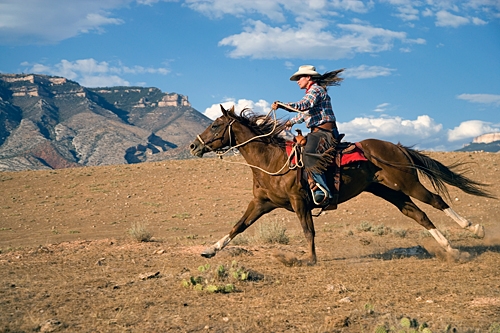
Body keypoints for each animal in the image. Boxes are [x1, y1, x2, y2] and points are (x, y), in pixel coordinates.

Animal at [189, 105, 494, 264]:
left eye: (215, 125)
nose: (193, 146)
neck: (271, 161)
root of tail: (395, 146)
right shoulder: (261, 203)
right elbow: (238, 226)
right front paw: (210, 249)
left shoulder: (300, 202)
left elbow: (308, 231)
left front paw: (310, 260)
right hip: (388, 190)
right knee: (417, 213)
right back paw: (451, 249)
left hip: (407, 182)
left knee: (436, 201)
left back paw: (474, 229)